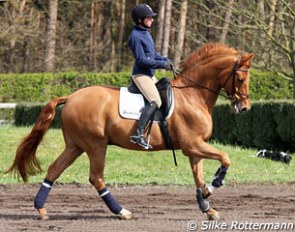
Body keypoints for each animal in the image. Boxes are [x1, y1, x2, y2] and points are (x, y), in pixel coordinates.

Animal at [5, 43, 254, 221]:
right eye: (240, 78)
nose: (245, 108)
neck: (193, 94)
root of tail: (72, 96)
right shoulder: (192, 145)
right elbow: (225, 158)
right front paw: (212, 188)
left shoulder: (195, 147)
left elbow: (198, 176)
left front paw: (207, 206)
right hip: (96, 145)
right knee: (96, 177)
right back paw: (121, 212)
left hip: (75, 146)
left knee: (55, 169)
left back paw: (41, 209)